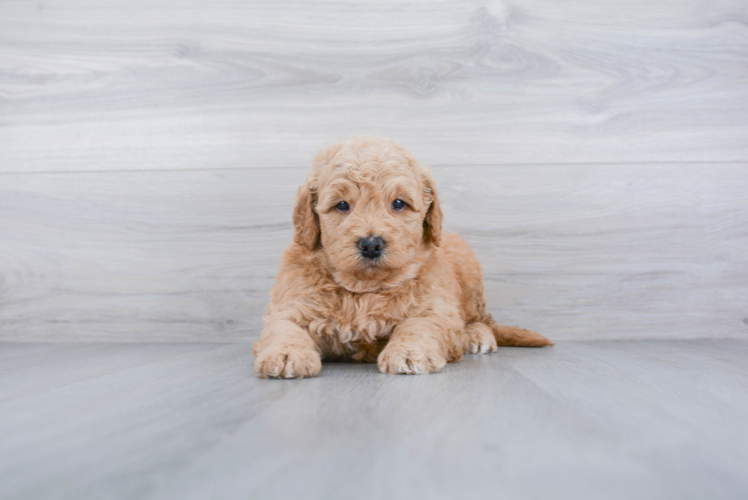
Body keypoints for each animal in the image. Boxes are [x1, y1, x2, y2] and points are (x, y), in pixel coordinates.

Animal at [254, 135, 552, 376]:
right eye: (342, 205)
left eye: (398, 203)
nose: (371, 244)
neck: (364, 290)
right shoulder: (292, 303)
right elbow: (284, 327)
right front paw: (286, 353)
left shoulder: (435, 307)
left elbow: (419, 325)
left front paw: (408, 353)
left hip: (469, 272)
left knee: (480, 319)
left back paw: (476, 336)